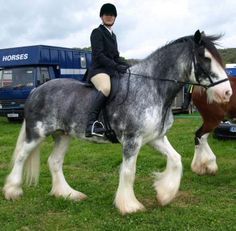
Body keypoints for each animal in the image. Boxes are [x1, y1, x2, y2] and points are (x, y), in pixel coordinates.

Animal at [3, 31, 232, 215]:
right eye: (205, 58)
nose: (227, 93)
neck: (152, 88)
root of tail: (36, 90)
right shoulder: (132, 140)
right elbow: (129, 172)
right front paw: (129, 206)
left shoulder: (155, 138)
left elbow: (176, 159)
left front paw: (164, 194)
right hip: (37, 134)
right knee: (21, 156)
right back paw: (12, 191)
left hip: (63, 135)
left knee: (54, 161)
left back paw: (67, 194)